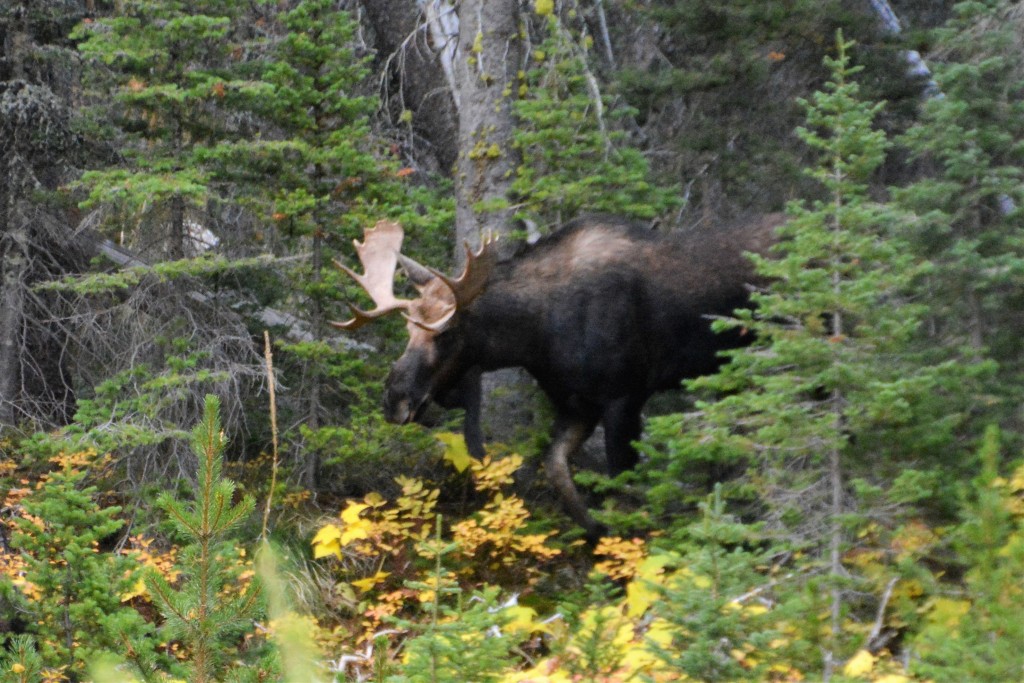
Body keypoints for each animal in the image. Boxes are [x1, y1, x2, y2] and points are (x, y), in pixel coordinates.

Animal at [331, 214, 778, 540]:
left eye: (447, 333)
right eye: (408, 329)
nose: (395, 399)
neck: (536, 337)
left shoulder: (625, 396)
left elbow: (623, 484)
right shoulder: (577, 404)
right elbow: (557, 468)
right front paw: (596, 529)